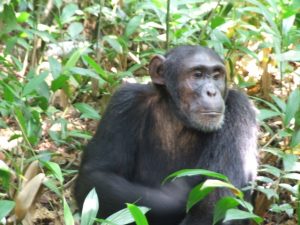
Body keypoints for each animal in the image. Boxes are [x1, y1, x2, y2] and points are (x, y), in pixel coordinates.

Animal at [75, 45, 258, 225]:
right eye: (197, 75)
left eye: (216, 76)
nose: (211, 92)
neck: (177, 116)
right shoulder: (124, 102)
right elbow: (97, 175)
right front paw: (177, 194)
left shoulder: (239, 110)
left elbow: (216, 202)